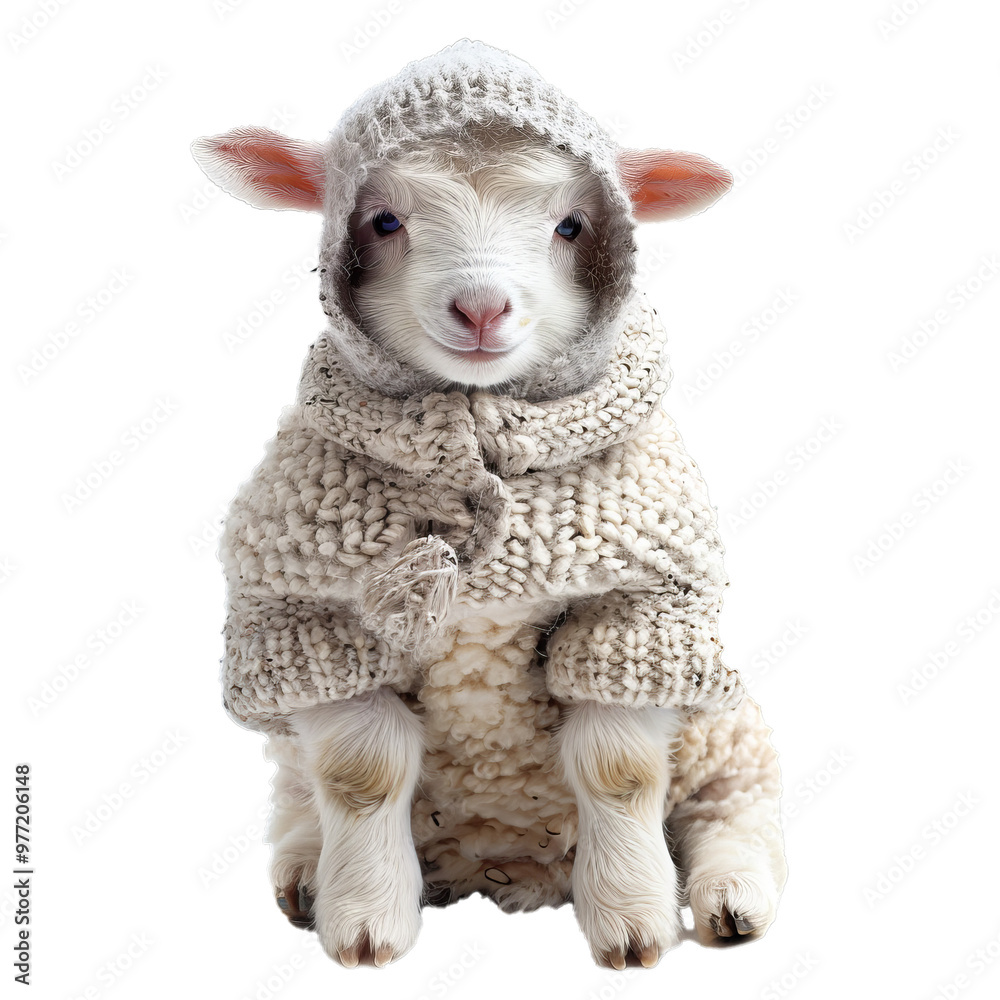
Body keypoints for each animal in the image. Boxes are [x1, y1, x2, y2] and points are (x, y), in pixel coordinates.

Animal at [192, 38, 786, 970]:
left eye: (570, 226)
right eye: (384, 221)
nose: (480, 307)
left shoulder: (644, 605)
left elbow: (621, 771)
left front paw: (633, 923)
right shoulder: (307, 615)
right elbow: (359, 776)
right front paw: (365, 921)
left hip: (727, 735)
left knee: (734, 809)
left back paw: (732, 896)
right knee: (301, 797)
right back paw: (303, 870)